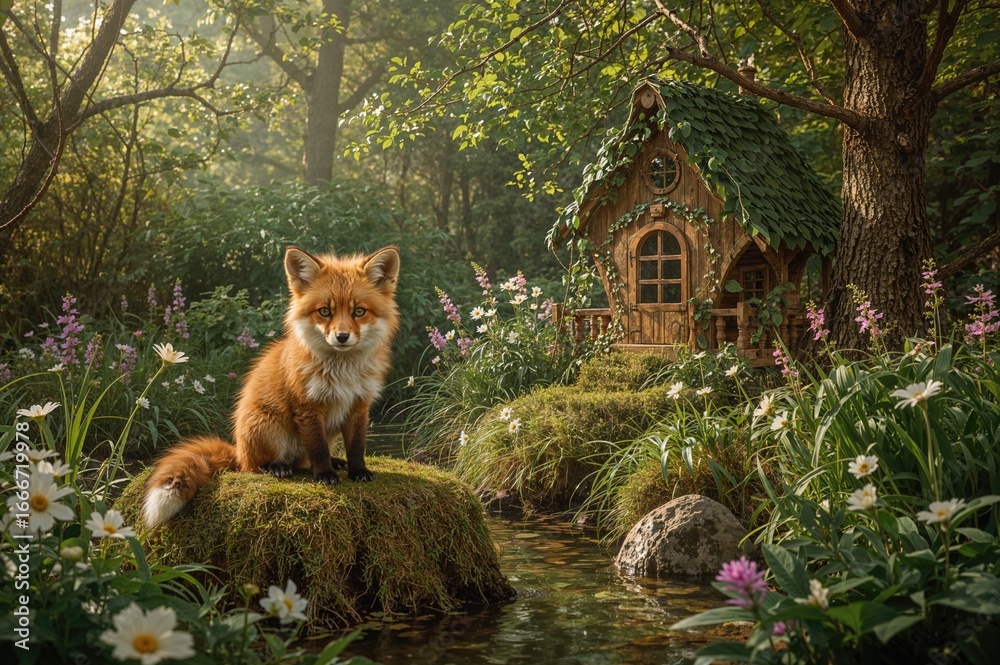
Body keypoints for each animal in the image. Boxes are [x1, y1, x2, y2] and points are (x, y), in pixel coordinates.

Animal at [142, 245, 400, 527]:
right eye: (324, 311)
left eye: (359, 311)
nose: (341, 337)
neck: (343, 373)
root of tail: (238, 450)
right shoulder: (308, 408)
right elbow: (318, 448)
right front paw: (324, 475)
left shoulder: (359, 406)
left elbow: (356, 446)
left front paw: (358, 471)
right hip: (268, 427)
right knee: (257, 466)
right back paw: (276, 467)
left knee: (302, 461)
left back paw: (334, 462)